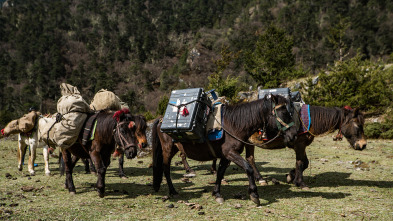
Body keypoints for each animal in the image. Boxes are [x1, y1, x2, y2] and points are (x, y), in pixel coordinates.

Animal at [152, 93, 296, 205]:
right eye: (283, 112)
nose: (293, 135)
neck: (234, 125)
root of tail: (160, 120)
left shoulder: (225, 156)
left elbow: (220, 172)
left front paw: (217, 194)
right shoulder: (230, 153)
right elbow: (248, 167)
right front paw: (254, 194)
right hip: (168, 150)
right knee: (166, 169)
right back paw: (173, 191)